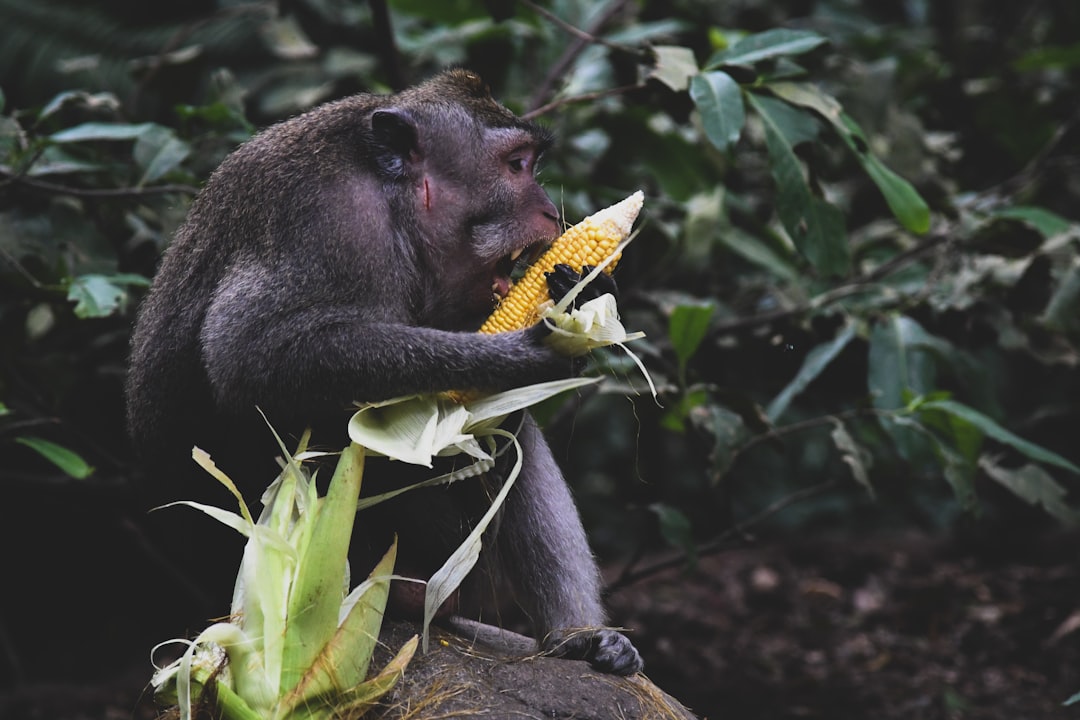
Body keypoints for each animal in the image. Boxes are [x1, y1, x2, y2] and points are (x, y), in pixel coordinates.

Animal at [128, 67, 639, 677]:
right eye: (517, 165)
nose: (550, 213)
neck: (393, 202)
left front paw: (588, 291)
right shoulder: (331, 221)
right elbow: (251, 354)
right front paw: (521, 355)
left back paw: (578, 636)